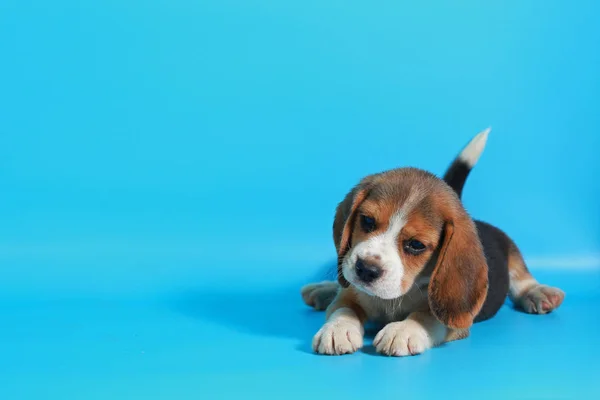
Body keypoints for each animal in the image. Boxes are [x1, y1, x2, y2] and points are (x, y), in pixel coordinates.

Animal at [302, 130, 564, 358]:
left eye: (416, 245)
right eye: (367, 221)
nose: (366, 269)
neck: (397, 297)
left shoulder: (453, 321)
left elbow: (427, 316)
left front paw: (403, 330)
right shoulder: (351, 294)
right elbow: (343, 307)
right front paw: (337, 329)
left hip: (512, 251)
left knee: (521, 278)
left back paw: (538, 292)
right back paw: (324, 289)